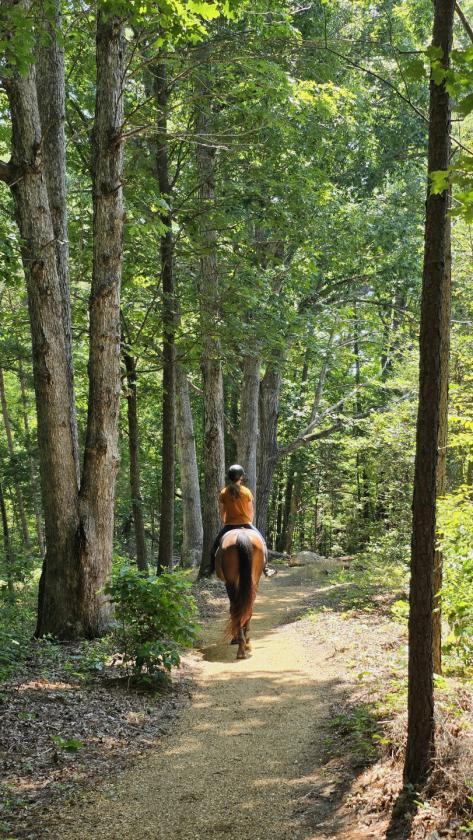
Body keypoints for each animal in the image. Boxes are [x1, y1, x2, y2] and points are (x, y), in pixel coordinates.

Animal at [215, 528, 265, 660]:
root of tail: (241, 535)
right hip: (252, 581)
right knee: (246, 607)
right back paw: (244, 644)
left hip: (232, 583)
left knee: (237, 608)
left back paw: (241, 645)